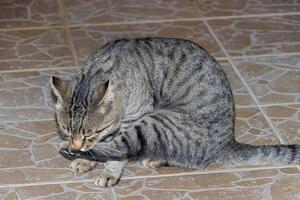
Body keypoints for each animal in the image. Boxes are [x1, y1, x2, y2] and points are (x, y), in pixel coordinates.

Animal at [50, 37, 298, 188]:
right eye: (66, 130)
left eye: (90, 133)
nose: (75, 146)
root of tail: (228, 142)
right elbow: (104, 144)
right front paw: (84, 159)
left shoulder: (133, 119)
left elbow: (115, 150)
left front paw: (108, 170)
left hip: (156, 122)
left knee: (190, 160)